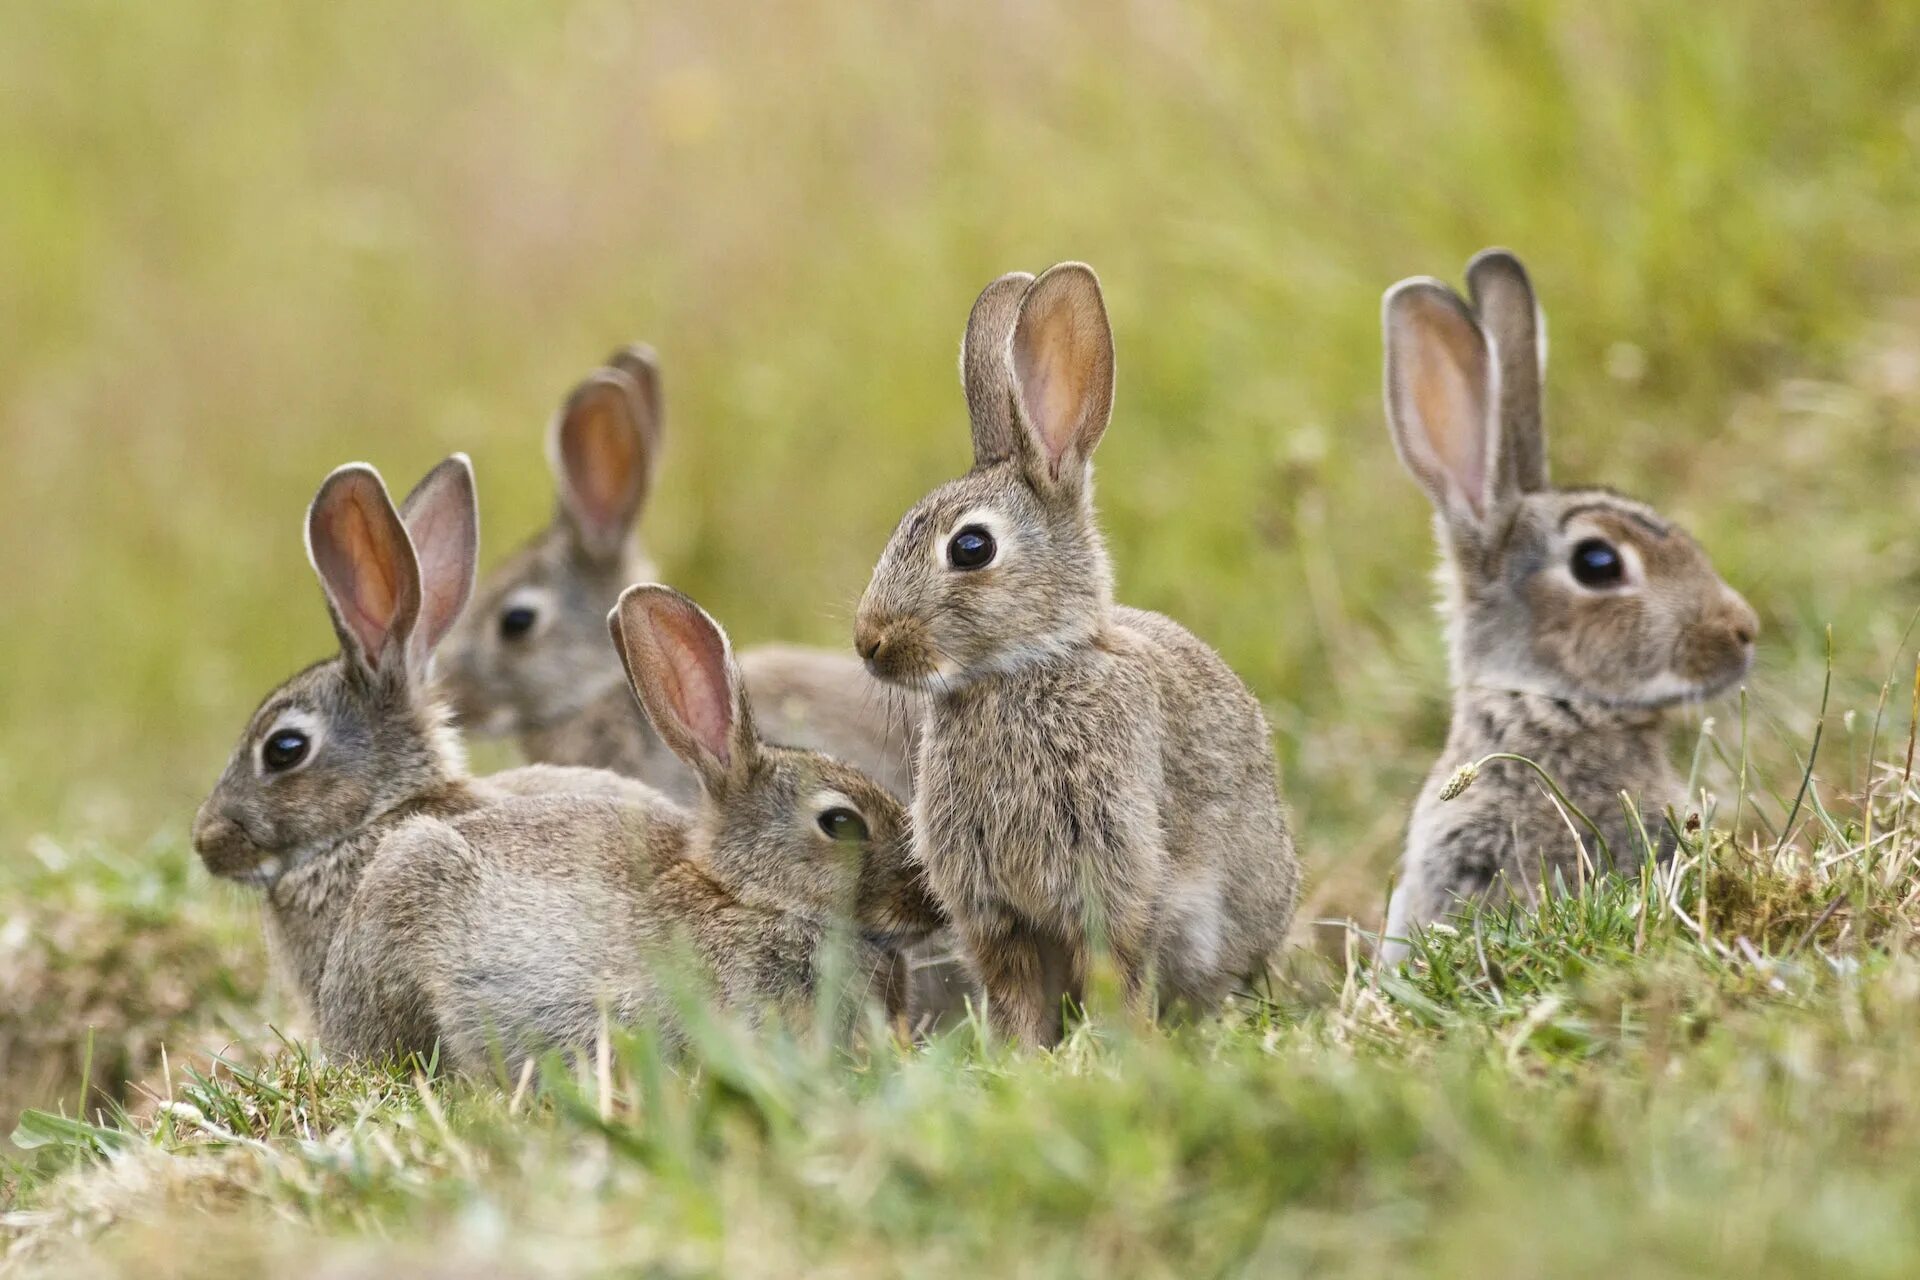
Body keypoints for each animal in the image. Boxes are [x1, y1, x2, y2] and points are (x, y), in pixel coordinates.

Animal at [856, 262, 1305, 1051]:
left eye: (970, 547)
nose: (868, 640)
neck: (1021, 670)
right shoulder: (996, 914)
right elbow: (1015, 993)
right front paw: (1022, 1058)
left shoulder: (1112, 876)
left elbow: (1115, 969)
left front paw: (1121, 1049)